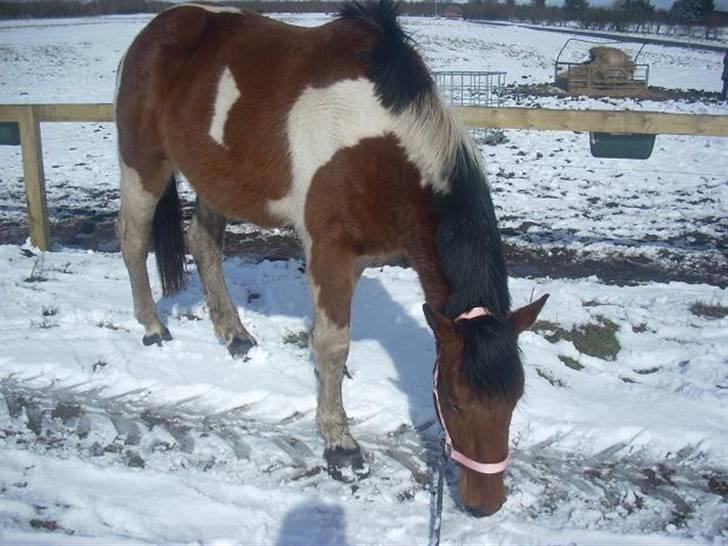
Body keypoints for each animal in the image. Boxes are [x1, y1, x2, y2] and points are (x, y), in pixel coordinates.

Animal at [115, 0, 544, 516]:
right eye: (455, 401)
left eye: (515, 399)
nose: (485, 505)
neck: (381, 145)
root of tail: (156, 29)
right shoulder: (328, 248)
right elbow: (333, 342)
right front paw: (340, 444)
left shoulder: (357, 256)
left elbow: (332, 342)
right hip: (142, 165)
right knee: (133, 240)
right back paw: (153, 326)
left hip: (213, 179)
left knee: (202, 243)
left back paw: (235, 335)